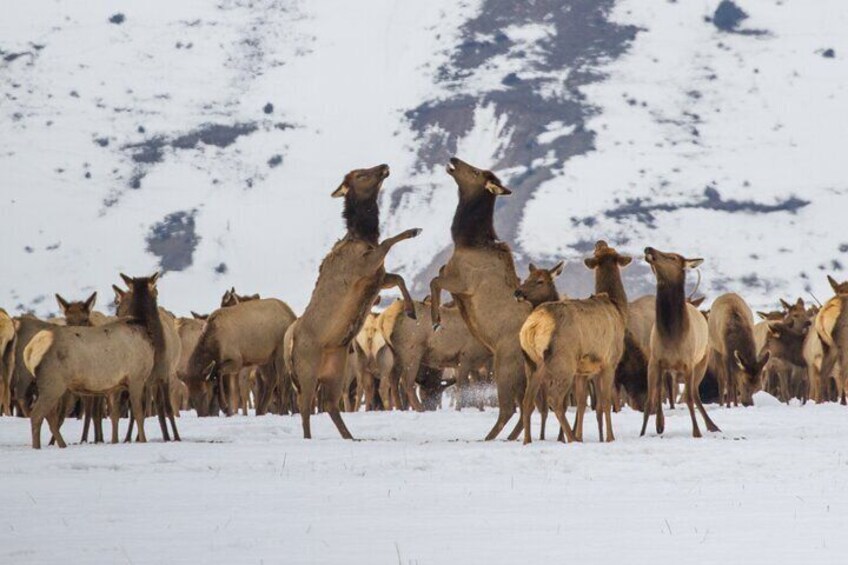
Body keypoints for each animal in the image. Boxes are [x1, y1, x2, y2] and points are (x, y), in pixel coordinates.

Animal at [24, 274, 164, 450]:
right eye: (157, 290)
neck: (143, 326)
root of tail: (30, 349)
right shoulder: (137, 377)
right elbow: (139, 414)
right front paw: (143, 441)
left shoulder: (115, 385)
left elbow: (114, 415)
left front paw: (114, 441)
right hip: (53, 381)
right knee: (36, 414)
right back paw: (38, 447)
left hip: (52, 385)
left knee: (49, 416)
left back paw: (62, 444)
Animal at [284, 163, 420, 440]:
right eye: (360, 174)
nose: (384, 166)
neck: (364, 237)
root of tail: (291, 343)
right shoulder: (364, 267)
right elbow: (388, 242)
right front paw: (413, 231)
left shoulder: (377, 276)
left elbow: (399, 277)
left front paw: (411, 309)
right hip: (306, 367)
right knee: (305, 406)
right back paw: (309, 438)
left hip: (337, 367)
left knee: (329, 404)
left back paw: (350, 436)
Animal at [430, 155, 528, 440]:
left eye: (474, 172)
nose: (453, 158)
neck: (466, 240)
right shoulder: (453, 277)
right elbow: (438, 274)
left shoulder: (463, 281)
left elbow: (434, 280)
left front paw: (436, 318)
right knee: (526, 407)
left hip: (505, 365)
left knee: (509, 408)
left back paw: (490, 437)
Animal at [516, 242, 628, 446]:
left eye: (538, 280)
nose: (601, 242)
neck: (620, 310)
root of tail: (535, 324)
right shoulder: (609, 362)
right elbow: (605, 402)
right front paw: (610, 438)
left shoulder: (583, 370)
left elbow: (583, 404)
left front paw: (582, 435)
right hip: (563, 361)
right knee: (554, 399)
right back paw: (571, 438)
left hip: (532, 363)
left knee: (528, 401)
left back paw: (528, 440)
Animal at [640, 246, 720, 436]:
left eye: (673, 257)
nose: (648, 248)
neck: (671, 335)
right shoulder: (654, 361)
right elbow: (649, 400)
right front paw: (642, 433)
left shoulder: (688, 363)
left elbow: (689, 398)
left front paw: (696, 432)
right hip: (666, 368)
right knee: (661, 392)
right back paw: (660, 424)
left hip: (701, 362)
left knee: (695, 394)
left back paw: (712, 425)